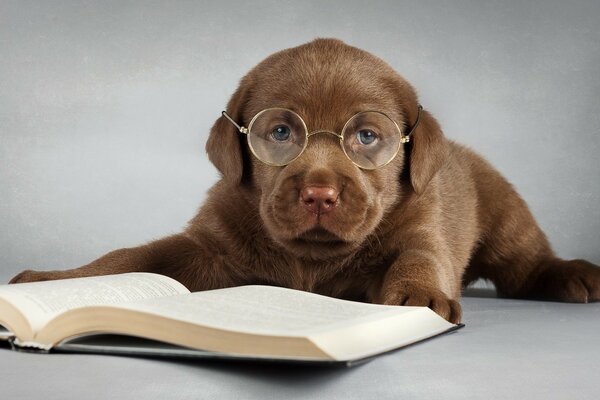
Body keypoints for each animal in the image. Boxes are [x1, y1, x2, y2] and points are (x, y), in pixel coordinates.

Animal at [10, 38, 600, 324]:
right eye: (280, 132)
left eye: (366, 136)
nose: (320, 192)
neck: (311, 260)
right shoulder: (209, 245)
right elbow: (133, 257)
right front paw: (57, 283)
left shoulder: (422, 227)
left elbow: (421, 258)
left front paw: (419, 297)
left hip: (505, 211)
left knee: (523, 263)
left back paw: (573, 275)